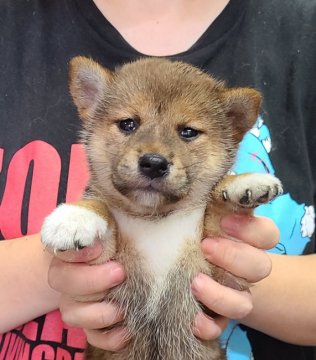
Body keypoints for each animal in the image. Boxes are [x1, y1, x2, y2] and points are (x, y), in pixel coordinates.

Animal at [41, 57, 282, 358]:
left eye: (188, 132)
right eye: (128, 124)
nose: (154, 163)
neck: (156, 219)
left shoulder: (218, 276)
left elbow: (218, 216)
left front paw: (243, 182)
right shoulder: (103, 280)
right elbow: (101, 206)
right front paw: (75, 216)